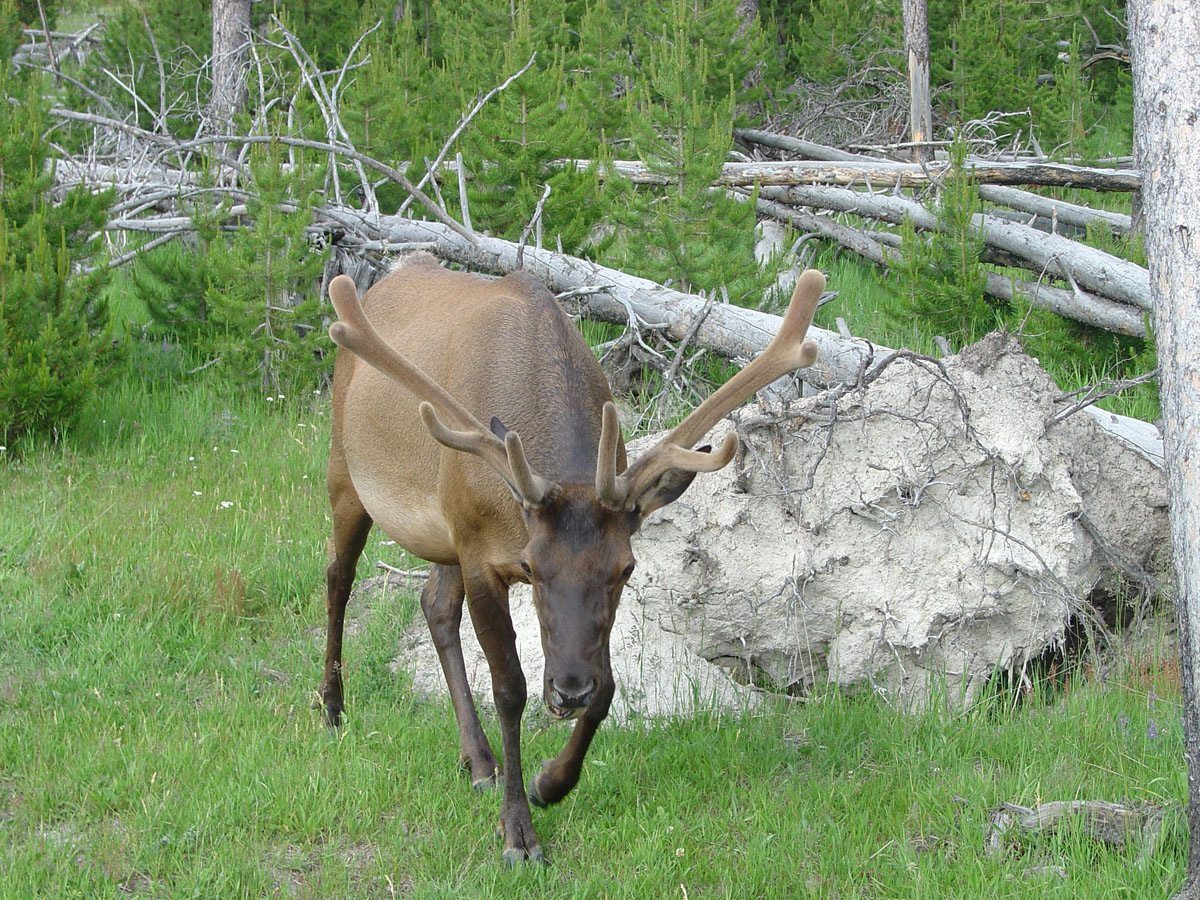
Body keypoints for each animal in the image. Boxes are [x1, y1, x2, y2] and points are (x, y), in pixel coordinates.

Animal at [319, 254, 825, 868]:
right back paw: (332, 707)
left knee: (433, 603)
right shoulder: (481, 554)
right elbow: (510, 689)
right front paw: (518, 834)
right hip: (345, 472)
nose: (568, 691)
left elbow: (609, 687)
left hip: (443, 532)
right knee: (338, 577)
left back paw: (478, 761)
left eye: (626, 569)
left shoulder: (478, 541)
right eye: (531, 567)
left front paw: (550, 783)